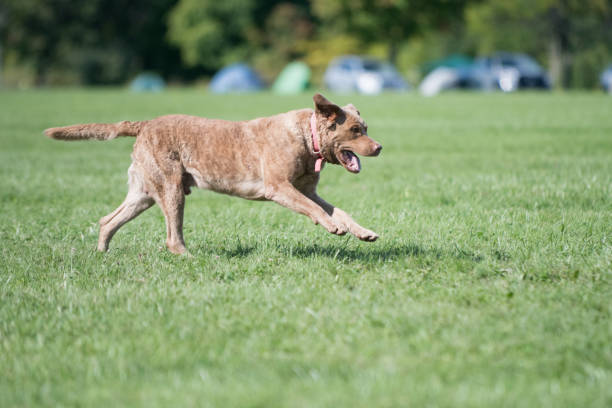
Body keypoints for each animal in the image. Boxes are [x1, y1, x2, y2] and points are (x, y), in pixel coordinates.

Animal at [46, 94, 382, 253]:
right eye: (355, 130)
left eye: (366, 128)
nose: (379, 147)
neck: (306, 136)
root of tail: (144, 125)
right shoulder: (279, 188)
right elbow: (313, 209)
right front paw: (330, 226)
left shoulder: (307, 189)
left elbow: (340, 210)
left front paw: (362, 231)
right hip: (170, 188)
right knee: (172, 237)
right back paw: (189, 257)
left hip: (144, 192)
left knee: (109, 220)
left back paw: (102, 252)